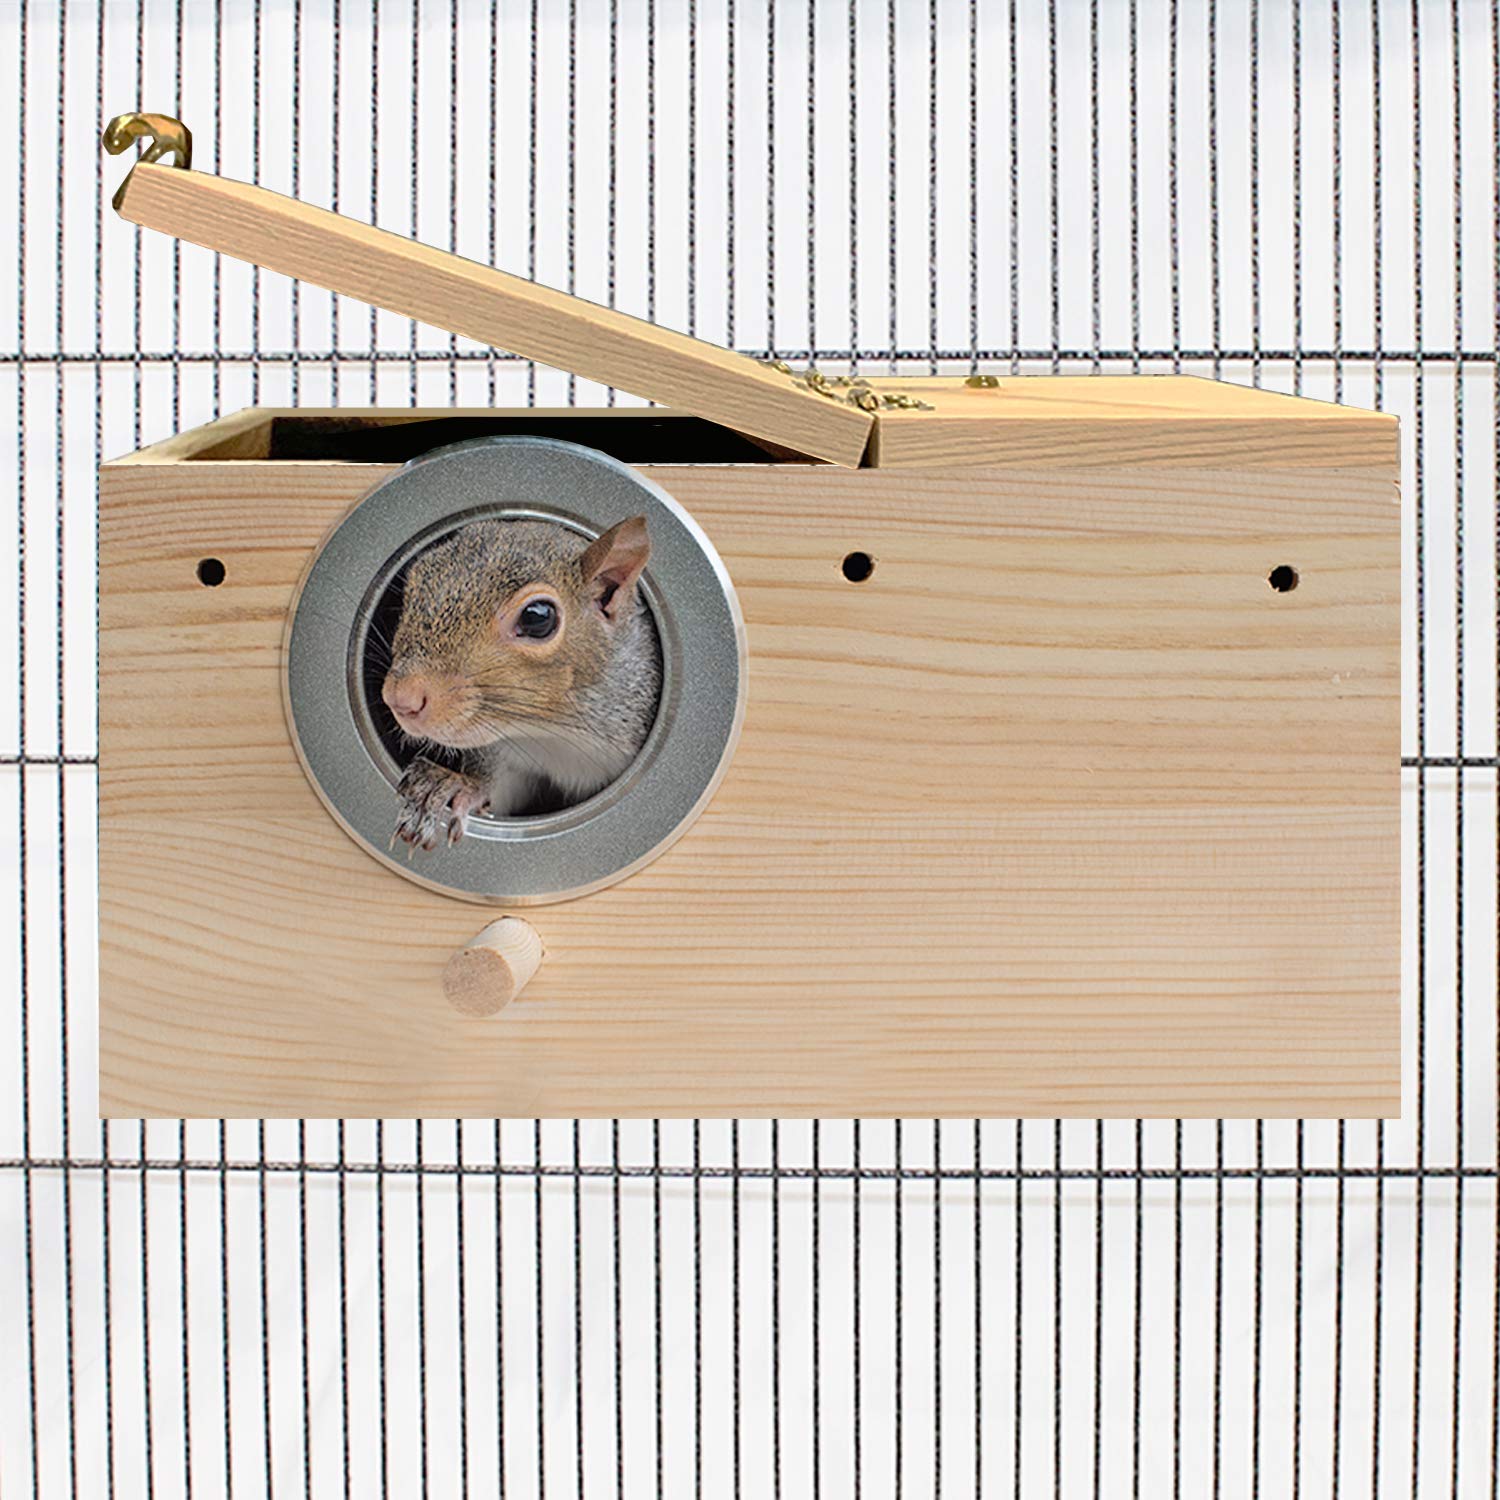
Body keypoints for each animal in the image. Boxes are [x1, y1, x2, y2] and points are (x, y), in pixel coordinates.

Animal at [380, 514, 662, 850]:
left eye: (537, 617)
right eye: (415, 581)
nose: (400, 698)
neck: (551, 733)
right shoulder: (508, 758)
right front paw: (446, 787)